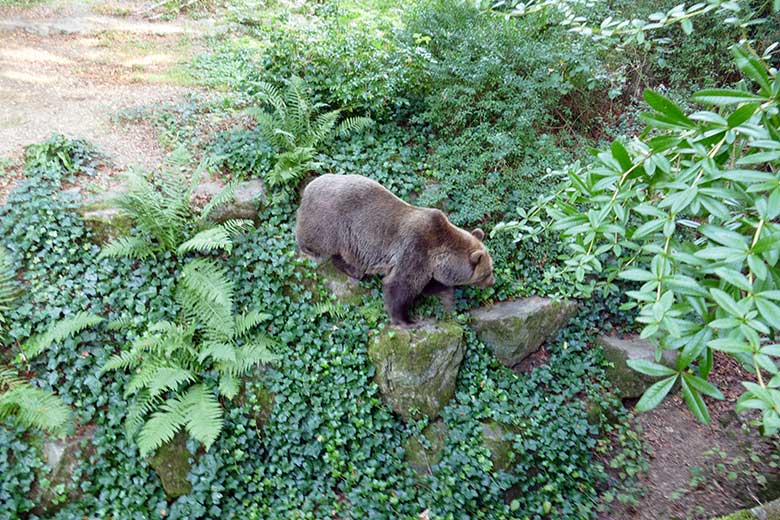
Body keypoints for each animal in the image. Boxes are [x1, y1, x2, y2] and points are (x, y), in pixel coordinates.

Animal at [294, 175, 494, 324]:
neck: (440, 255)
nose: (492, 281)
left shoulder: (426, 264)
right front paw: (406, 320)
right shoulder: (415, 250)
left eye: (490, 269)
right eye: (486, 272)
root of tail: (309, 187)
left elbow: (426, 285)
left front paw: (445, 293)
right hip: (332, 223)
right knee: (318, 241)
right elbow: (399, 285)